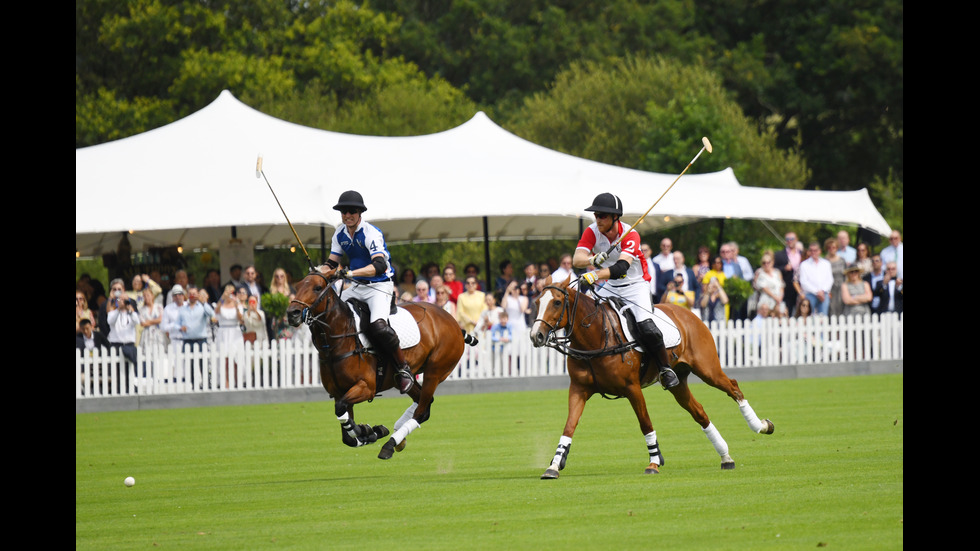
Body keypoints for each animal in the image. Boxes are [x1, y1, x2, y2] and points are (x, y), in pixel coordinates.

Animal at [286, 268, 476, 462]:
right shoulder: (339, 392)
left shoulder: (366, 387)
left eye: (317, 287)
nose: (292, 313)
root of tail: (454, 323)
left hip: (435, 371)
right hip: (405, 378)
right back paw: (398, 436)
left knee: (422, 411)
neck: (338, 340)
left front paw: (368, 430)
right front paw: (371, 431)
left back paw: (390, 444)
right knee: (422, 400)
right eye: (297, 286)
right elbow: (347, 432)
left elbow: (343, 413)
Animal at [528, 276, 772, 478]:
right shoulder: (578, 389)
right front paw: (554, 465)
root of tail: (689, 313)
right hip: (678, 383)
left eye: (556, 302)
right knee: (699, 412)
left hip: (708, 369)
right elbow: (569, 426)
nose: (535, 336)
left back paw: (761, 426)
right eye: (537, 301)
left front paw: (654, 462)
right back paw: (726, 456)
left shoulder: (632, 388)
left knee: (733, 387)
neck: (596, 336)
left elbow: (645, 423)